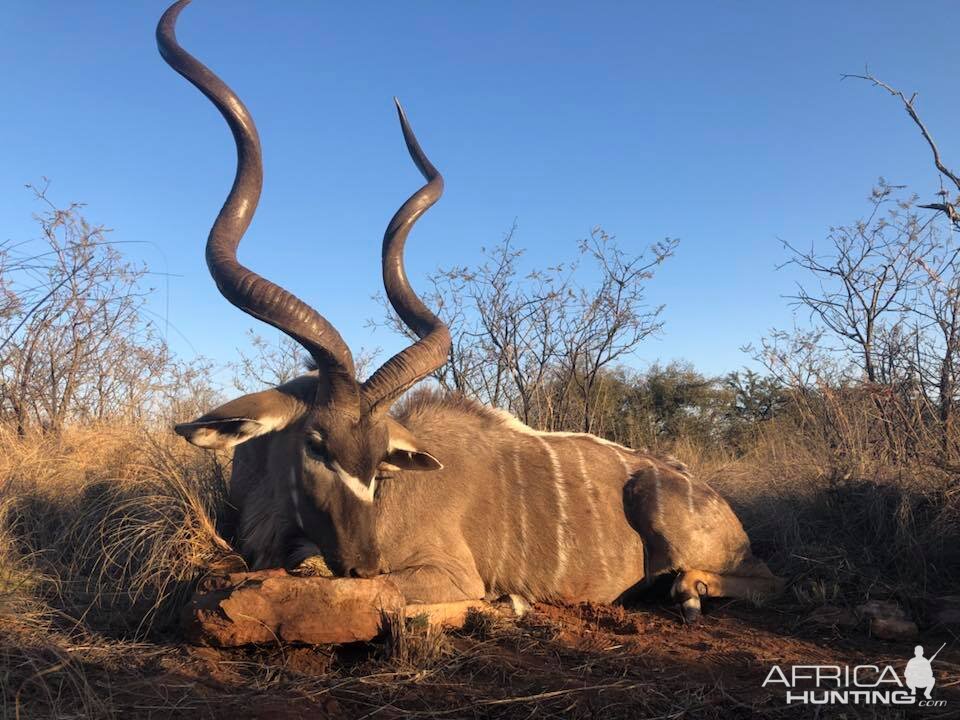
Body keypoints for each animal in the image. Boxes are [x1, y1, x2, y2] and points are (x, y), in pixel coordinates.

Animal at [158, 0, 780, 620]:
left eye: (379, 458)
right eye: (316, 444)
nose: (363, 564)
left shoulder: (446, 574)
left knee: (762, 579)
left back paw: (689, 590)